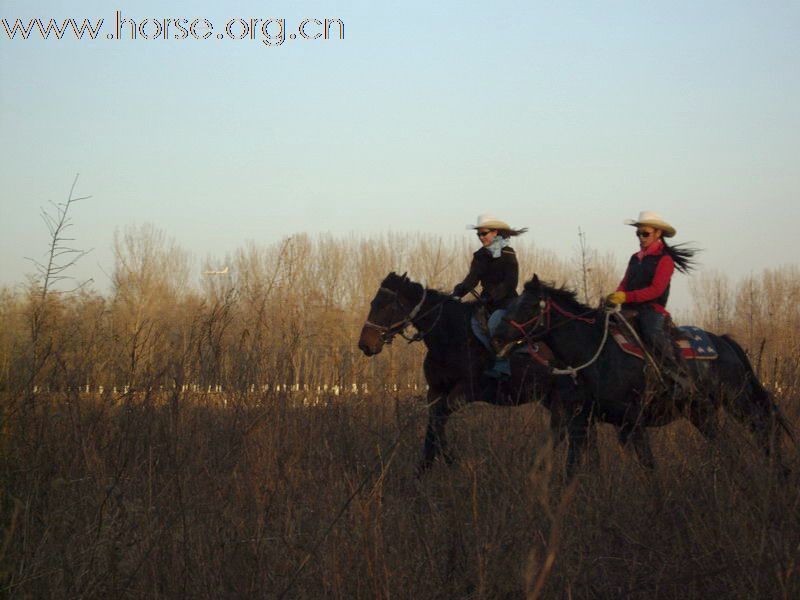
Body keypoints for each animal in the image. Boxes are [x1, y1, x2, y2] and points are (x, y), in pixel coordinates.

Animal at [356, 274, 576, 474]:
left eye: (385, 306)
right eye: (373, 303)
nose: (365, 344)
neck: (450, 335)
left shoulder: (464, 392)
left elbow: (439, 420)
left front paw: (454, 462)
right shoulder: (435, 391)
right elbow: (432, 424)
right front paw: (423, 469)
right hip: (550, 398)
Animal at [494, 274, 792, 476]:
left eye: (527, 306)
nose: (496, 334)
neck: (594, 352)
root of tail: (724, 342)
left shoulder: (631, 422)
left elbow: (648, 466)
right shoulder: (583, 419)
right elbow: (578, 464)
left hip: (738, 400)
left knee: (763, 428)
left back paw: (777, 474)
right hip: (701, 412)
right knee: (729, 444)